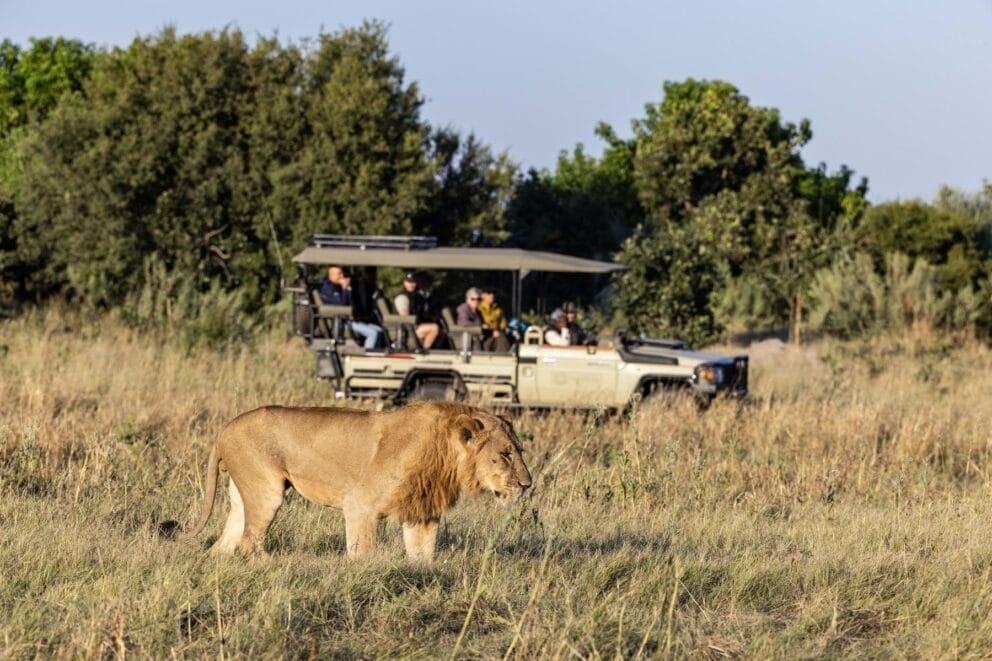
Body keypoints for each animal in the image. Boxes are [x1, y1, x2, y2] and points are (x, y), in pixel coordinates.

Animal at [178, 400, 532, 560]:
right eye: (505, 454)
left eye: (519, 450)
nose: (527, 485)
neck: (445, 458)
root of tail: (224, 429)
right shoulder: (360, 505)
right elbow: (364, 554)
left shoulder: (422, 512)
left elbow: (422, 556)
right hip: (267, 491)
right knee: (249, 542)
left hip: (243, 493)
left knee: (226, 542)